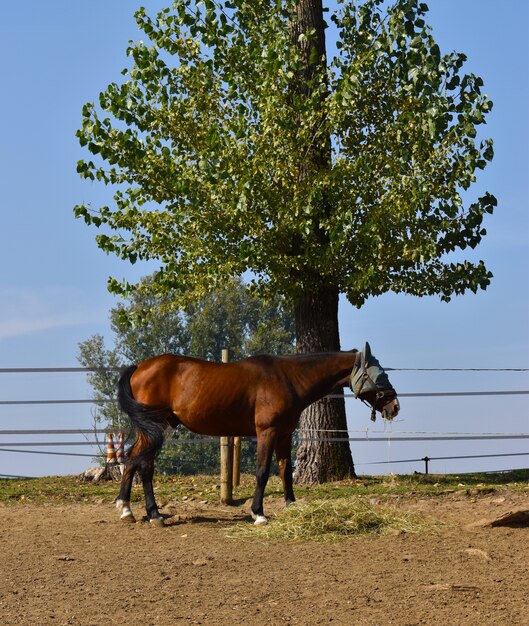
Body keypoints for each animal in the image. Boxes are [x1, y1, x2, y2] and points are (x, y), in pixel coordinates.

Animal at [114, 342, 396, 520]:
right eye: (379, 374)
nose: (395, 406)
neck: (288, 379)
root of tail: (139, 367)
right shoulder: (267, 433)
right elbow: (262, 472)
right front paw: (258, 512)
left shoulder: (284, 434)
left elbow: (285, 471)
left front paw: (291, 506)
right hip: (154, 429)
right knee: (144, 465)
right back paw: (153, 514)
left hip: (151, 430)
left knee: (132, 460)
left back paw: (127, 509)